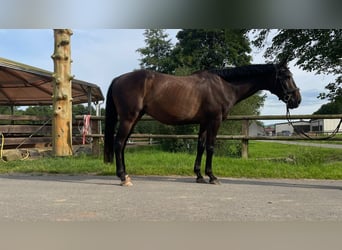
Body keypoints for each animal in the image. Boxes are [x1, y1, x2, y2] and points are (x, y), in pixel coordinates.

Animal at [103, 62, 300, 186]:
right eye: (287, 76)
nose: (297, 100)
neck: (224, 86)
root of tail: (118, 78)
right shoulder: (215, 121)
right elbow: (211, 147)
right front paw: (212, 176)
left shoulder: (204, 123)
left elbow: (201, 146)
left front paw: (199, 176)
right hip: (128, 118)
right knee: (119, 143)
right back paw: (122, 177)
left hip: (134, 119)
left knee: (122, 145)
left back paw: (126, 174)